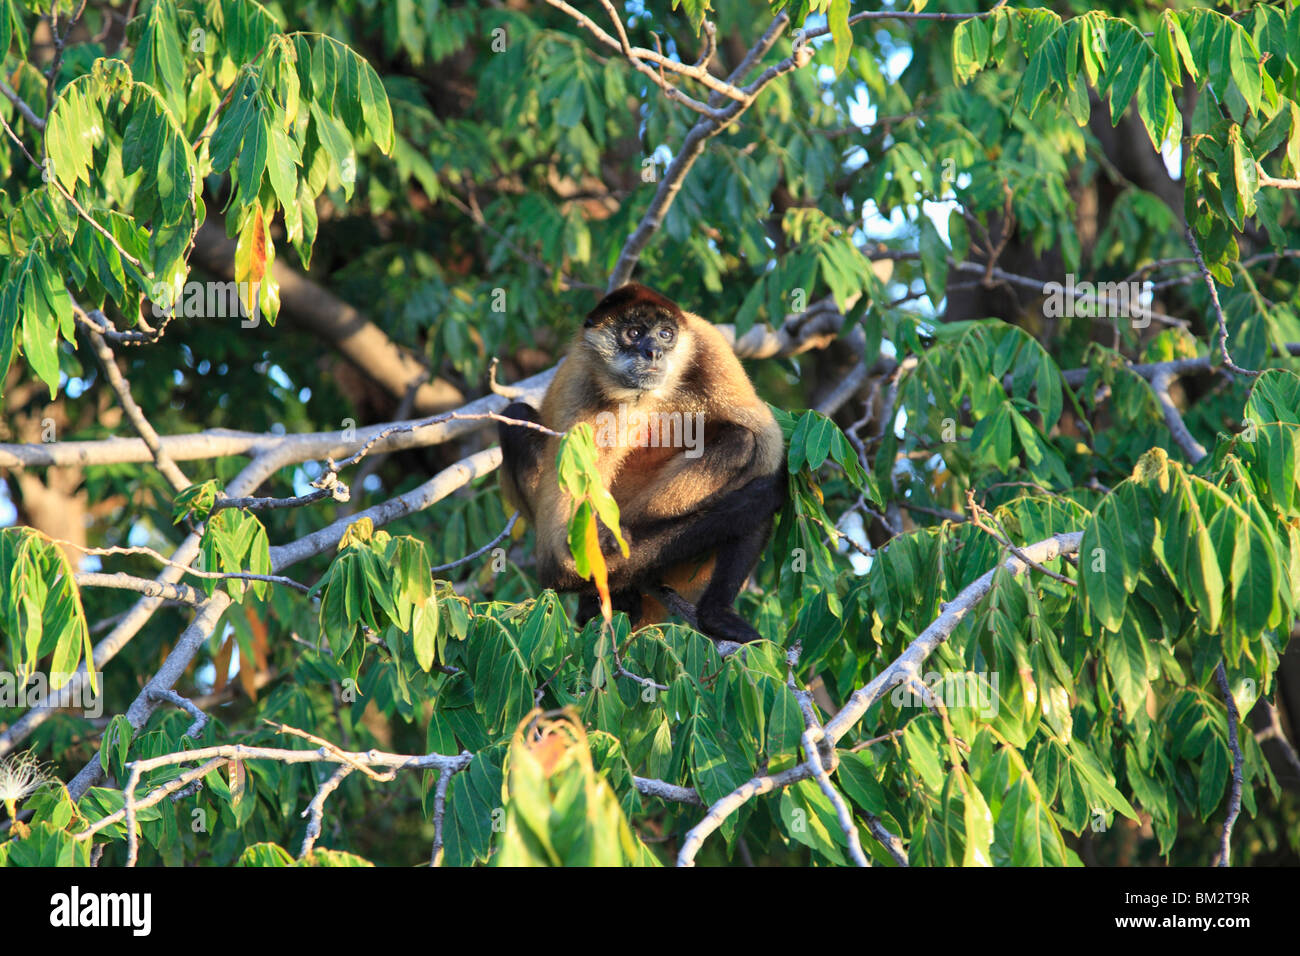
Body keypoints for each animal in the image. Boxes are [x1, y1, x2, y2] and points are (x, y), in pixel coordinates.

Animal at [496, 282, 787, 644]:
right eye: (633, 333)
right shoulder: (581, 385)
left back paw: (712, 613)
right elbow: (557, 561)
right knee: (515, 414)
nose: (654, 352)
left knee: (744, 441)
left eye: (665, 335)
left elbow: (768, 454)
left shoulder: (709, 345)